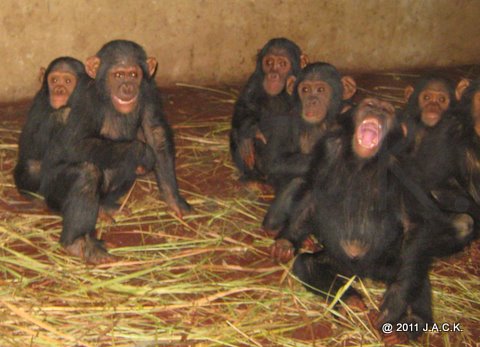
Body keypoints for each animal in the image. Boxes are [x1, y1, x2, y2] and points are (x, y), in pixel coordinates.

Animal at [13, 55, 87, 194]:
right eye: (55, 80)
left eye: (68, 81)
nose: (59, 90)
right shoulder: (39, 102)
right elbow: (30, 144)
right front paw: (62, 114)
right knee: (33, 167)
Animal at [39, 40, 189, 264]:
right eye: (118, 75)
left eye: (133, 75)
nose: (127, 87)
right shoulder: (87, 99)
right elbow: (74, 144)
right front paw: (142, 151)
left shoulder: (149, 90)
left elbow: (156, 133)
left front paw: (174, 200)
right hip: (51, 190)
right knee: (88, 173)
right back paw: (78, 243)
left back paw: (105, 206)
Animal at [229, 38, 308, 184]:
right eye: (269, 62)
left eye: (282, 64)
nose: (273, 75)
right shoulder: (254, 80)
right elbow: (244, 106)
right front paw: (249, 132)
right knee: (236, 131)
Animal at [270, 98, 468, 342]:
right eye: (369, 104)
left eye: (388, 111)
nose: (377, 109)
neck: (363, 161)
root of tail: (363, 274)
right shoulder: (327, 153)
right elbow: (311, 198)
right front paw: (286, 241)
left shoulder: (406, 168)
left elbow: (415, 223)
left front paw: (394, 304)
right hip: (339, 262)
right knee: (306, 265)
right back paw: (350, 302)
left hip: (387, 261)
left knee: (415, 274)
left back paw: (410, 324)